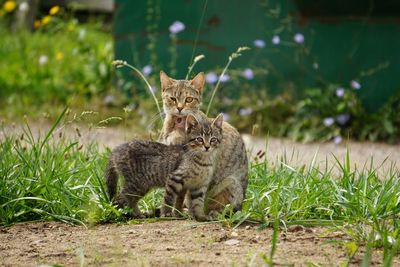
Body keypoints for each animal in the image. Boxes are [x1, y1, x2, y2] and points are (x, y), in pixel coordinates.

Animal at [159, 70, 247, 218]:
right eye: (173, 99)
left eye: (189, 99)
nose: (179, 108)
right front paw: (176, 211)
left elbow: (182, 195)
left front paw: (177, 212)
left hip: (230, 184)